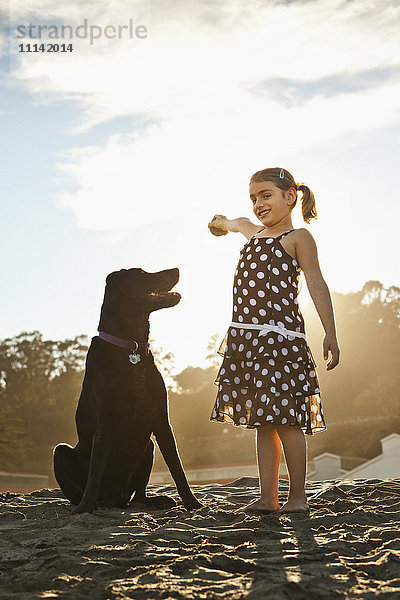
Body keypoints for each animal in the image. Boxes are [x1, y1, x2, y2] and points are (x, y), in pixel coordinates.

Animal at [53, 268, 202, 516]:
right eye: (142, 274)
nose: (177, 270)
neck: (131, 348)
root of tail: (117, 499)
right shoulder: (105, 421)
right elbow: (95, 472)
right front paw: (84, 507)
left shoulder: (161, 420)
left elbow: (177, 467)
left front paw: (193, 503)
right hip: (61, 453)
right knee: (78, 487)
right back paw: (91, 503)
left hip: (147, 446)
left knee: (139, 494)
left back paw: (154, 500)